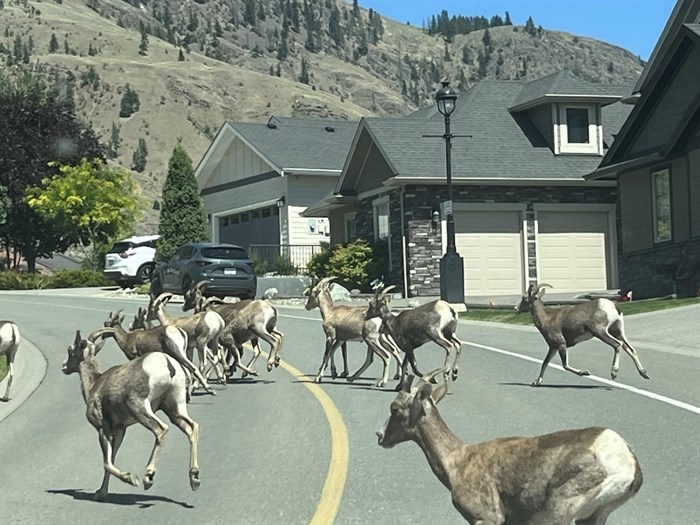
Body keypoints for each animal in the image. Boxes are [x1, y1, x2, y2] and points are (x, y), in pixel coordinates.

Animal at [63, 328, 200, 500]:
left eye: (71, 350)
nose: (64, 366)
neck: (94, 384)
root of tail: (168, 363)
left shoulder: (103, 429)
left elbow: (107, 462)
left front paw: (130, 478)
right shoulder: (120, 431)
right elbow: (112, 458)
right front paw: (101, 493)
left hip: (140, 407)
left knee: (161, 429)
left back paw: (148, 477)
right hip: (175, 408)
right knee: (192, 427)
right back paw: (194, 478)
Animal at [516, 282, 652, 384]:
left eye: (524, 298)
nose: (516, 309)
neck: (547, 319)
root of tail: (613, 307)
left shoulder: (561, 344)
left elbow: (564, 365)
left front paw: (585, 372)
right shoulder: (553, 347)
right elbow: (545, 363)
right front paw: (536, 382)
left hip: (600, 331)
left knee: (617, 345)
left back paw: (614, 373)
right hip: (617, 331)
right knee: (630, 349)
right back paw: (644, 374)